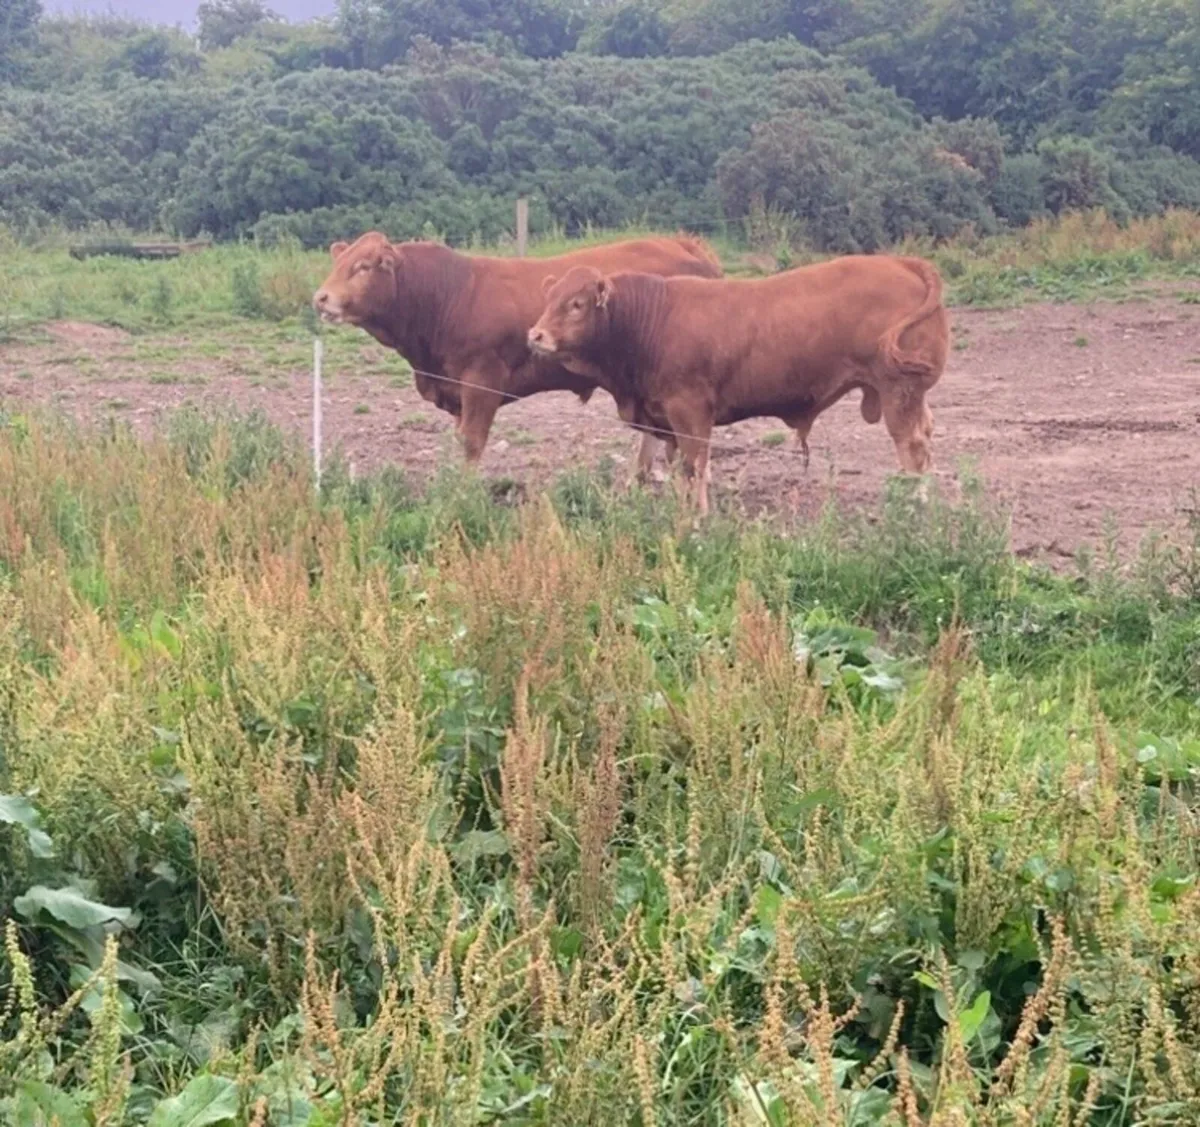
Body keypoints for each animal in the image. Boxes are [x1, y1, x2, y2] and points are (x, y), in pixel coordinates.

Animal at [311, 231, 723, 467]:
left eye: (363, 267)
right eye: (338, 262)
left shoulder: (481, 380)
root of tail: (681, 243)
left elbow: (472, 442)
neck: (448, 295)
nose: (321, 297)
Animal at [526, 254, 948, 516]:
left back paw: (917, 502)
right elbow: (677, 466)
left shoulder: (690, 411)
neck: (652, 321)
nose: (535, 335)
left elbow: (696, 465)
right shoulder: (664, 418)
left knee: (914, 450)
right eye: (549, 298)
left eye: (577, 304)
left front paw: (696, 515)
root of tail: (900, 261)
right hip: (912, 395)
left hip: (899, 391)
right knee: (926, 437)